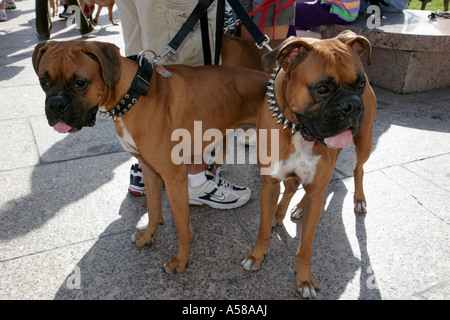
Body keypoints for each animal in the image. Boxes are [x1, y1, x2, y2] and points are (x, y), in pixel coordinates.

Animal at [32, 40, 270, 276]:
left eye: (80, 83)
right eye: (44, 81)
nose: (55, 105)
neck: (133, 93)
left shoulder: (173, 178)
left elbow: (181, 226)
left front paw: (180, 261)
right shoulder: (150, 170)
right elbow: (153, 209)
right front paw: (148, 237)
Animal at [236, 31, 376, 298]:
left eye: (360, 83)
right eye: (322, 88)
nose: (353, 104)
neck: (297, 129)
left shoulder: (315, 190)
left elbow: (306, 244)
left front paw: (304, 279)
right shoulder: (270, 184)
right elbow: (262, 228)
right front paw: (257, 255)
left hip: (364, 141)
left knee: (357, 169)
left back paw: (359, 199)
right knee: (293, 186)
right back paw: (283, 211)